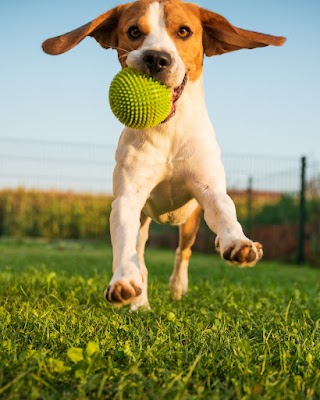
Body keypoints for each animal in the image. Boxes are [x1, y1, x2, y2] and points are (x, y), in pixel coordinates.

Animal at [42, 0, 284, 310]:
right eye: (134, 31)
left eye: (184, 31)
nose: (156, 58)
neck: (168, 131)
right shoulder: (128, 198)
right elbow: (125, 246)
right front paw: (123, 282)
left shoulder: (209, 190)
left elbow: (225, 213)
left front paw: (237, 243)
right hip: (144, 222)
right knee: (141, 258)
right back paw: (140, 302)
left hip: (191, 220)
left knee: (184, 252)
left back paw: (181, 284)